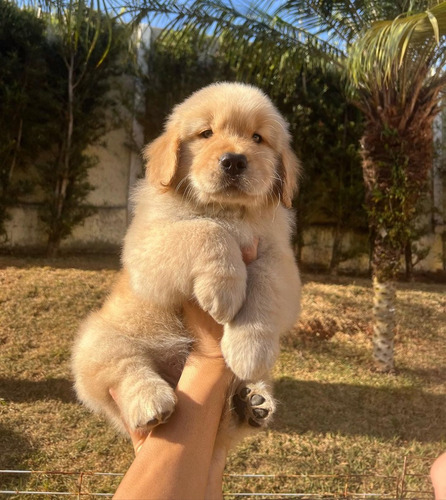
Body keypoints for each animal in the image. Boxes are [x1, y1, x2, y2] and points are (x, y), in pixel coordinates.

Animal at [73, 83, 302, 446]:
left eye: (257, 138)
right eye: (206, 133)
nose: (234, 161)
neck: (226, 210)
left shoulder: (281, 261)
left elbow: (264, 288)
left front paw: (250, 350)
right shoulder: (148, 246)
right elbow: (206, 230)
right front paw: (224, 293)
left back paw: (251, 401)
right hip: (98, 339)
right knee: (124, 369)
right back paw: (151, 401)